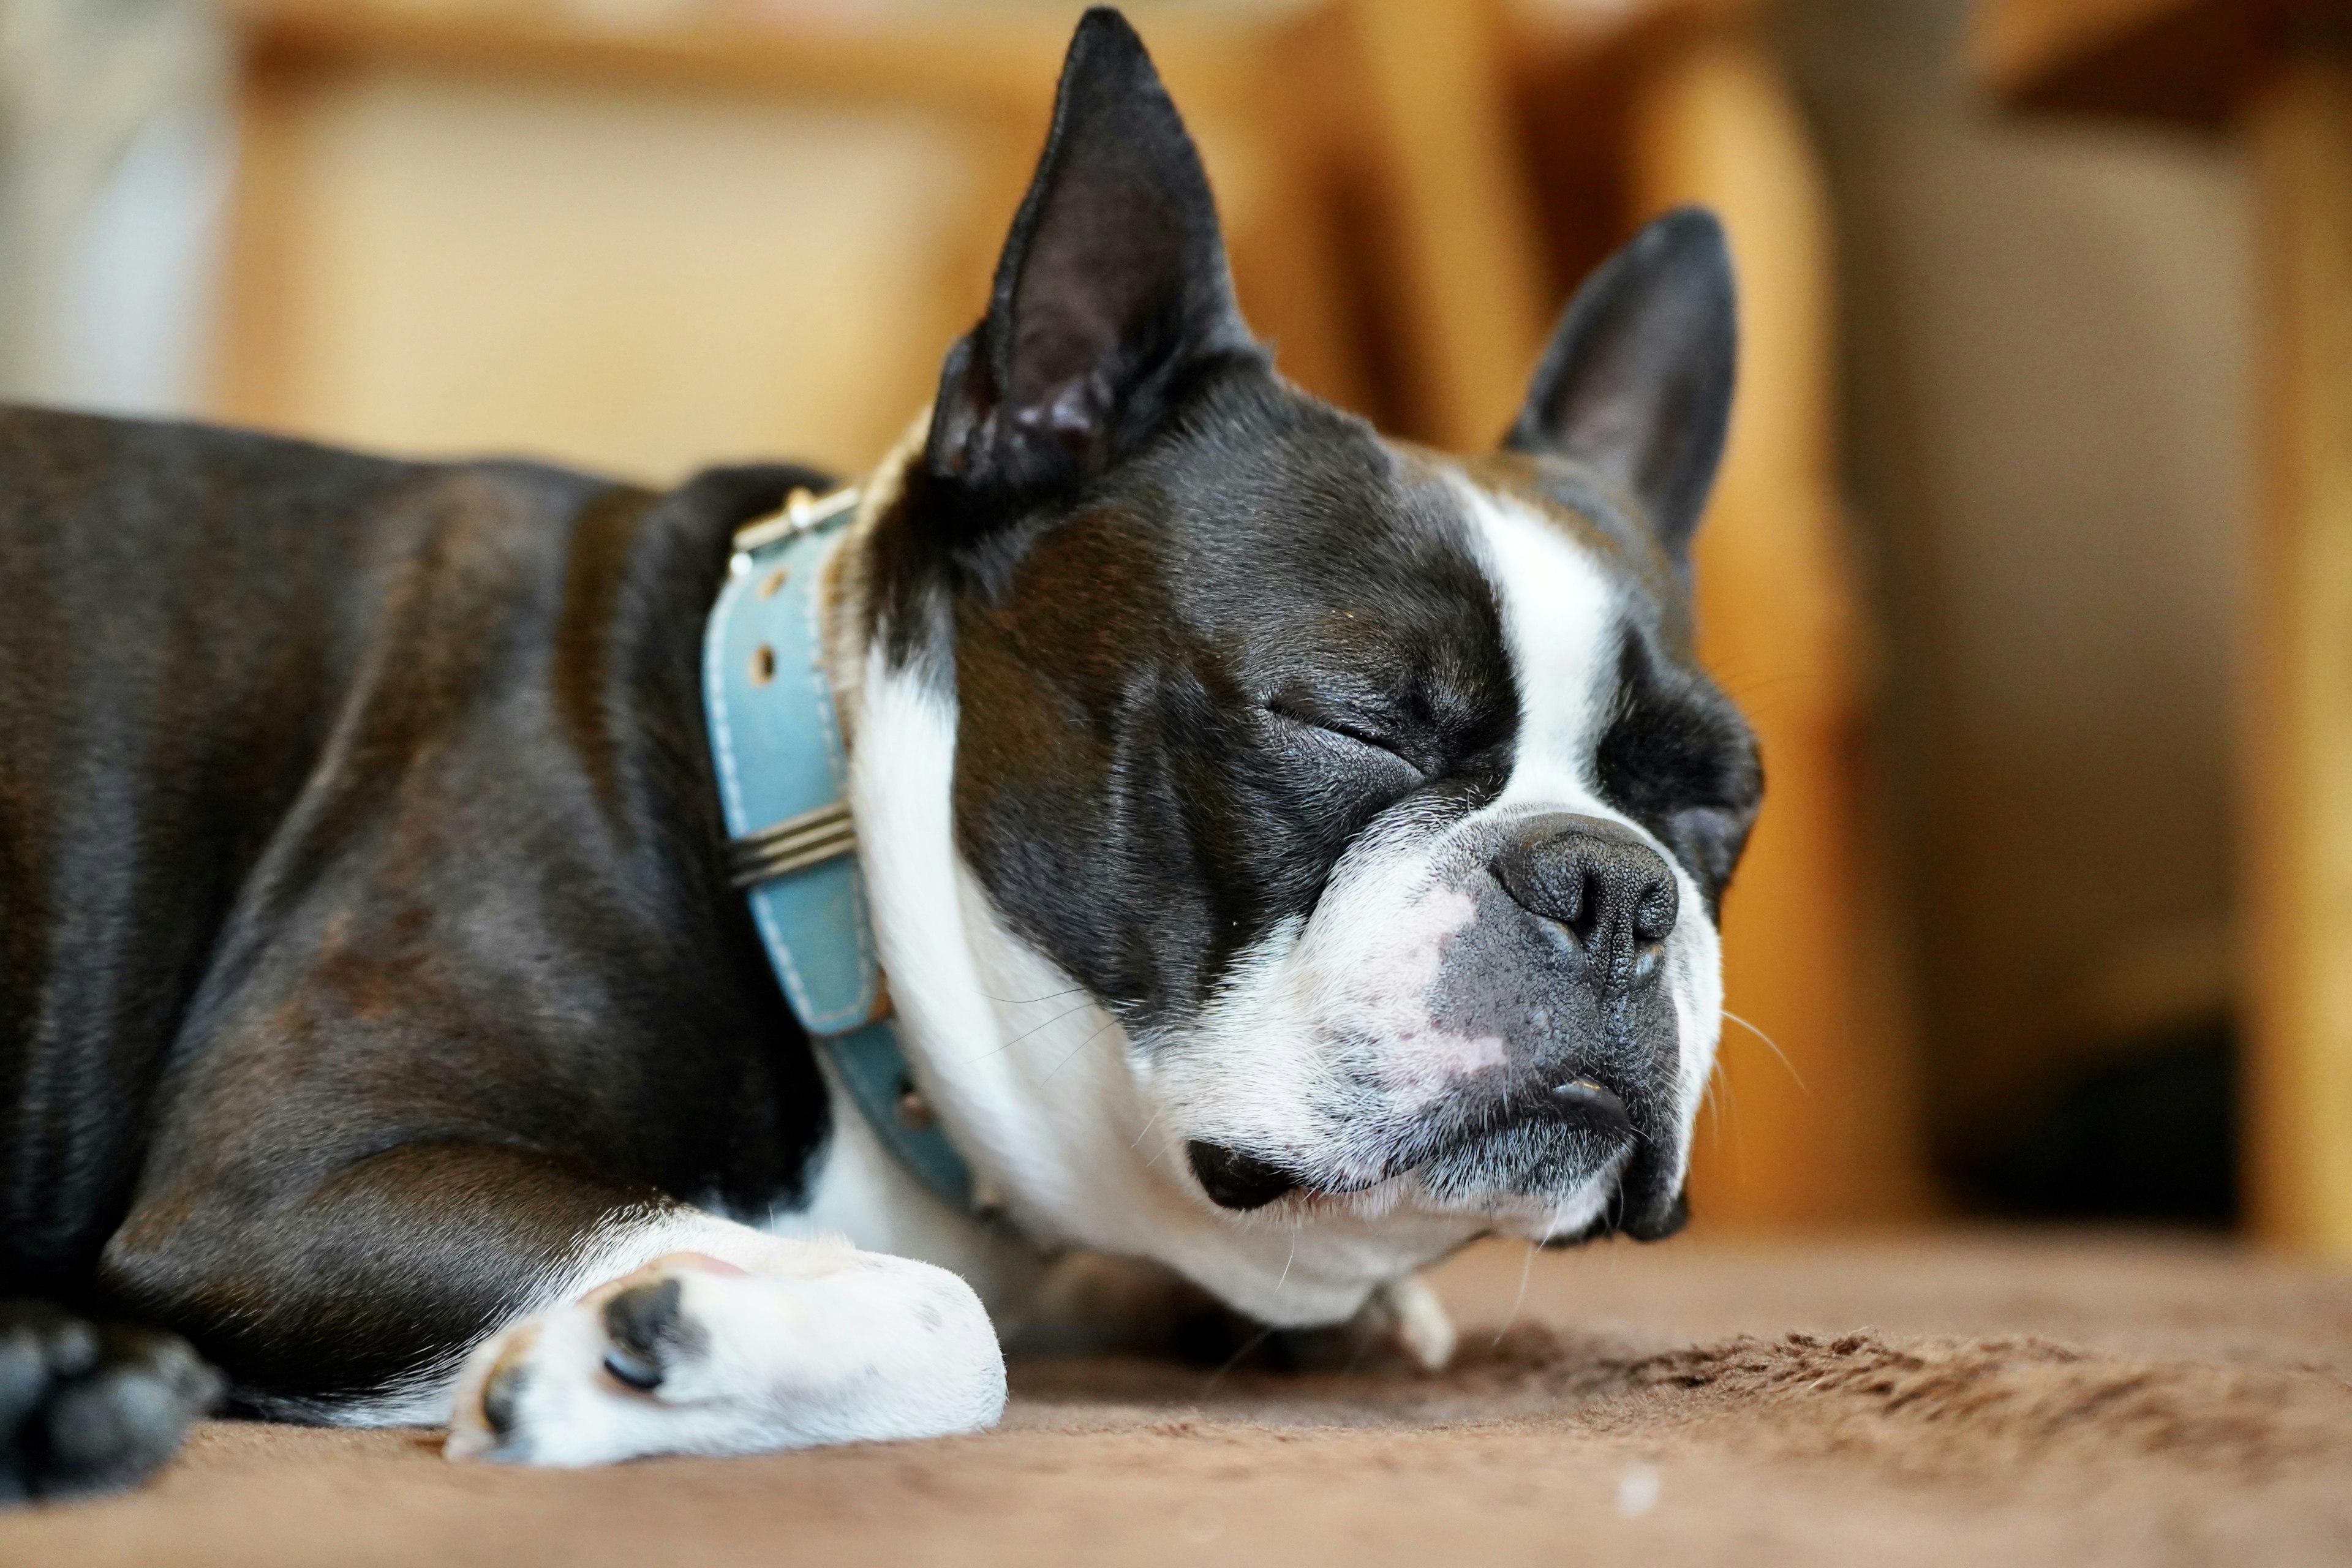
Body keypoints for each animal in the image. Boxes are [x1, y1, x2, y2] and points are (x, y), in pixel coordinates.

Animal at [0, 3, 1759, 1495]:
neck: (806, 852)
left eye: (1715, 807)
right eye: (1349, 720)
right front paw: (683, 1339)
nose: (1613, 886)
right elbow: (946, 1320)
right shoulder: (294, 1185)